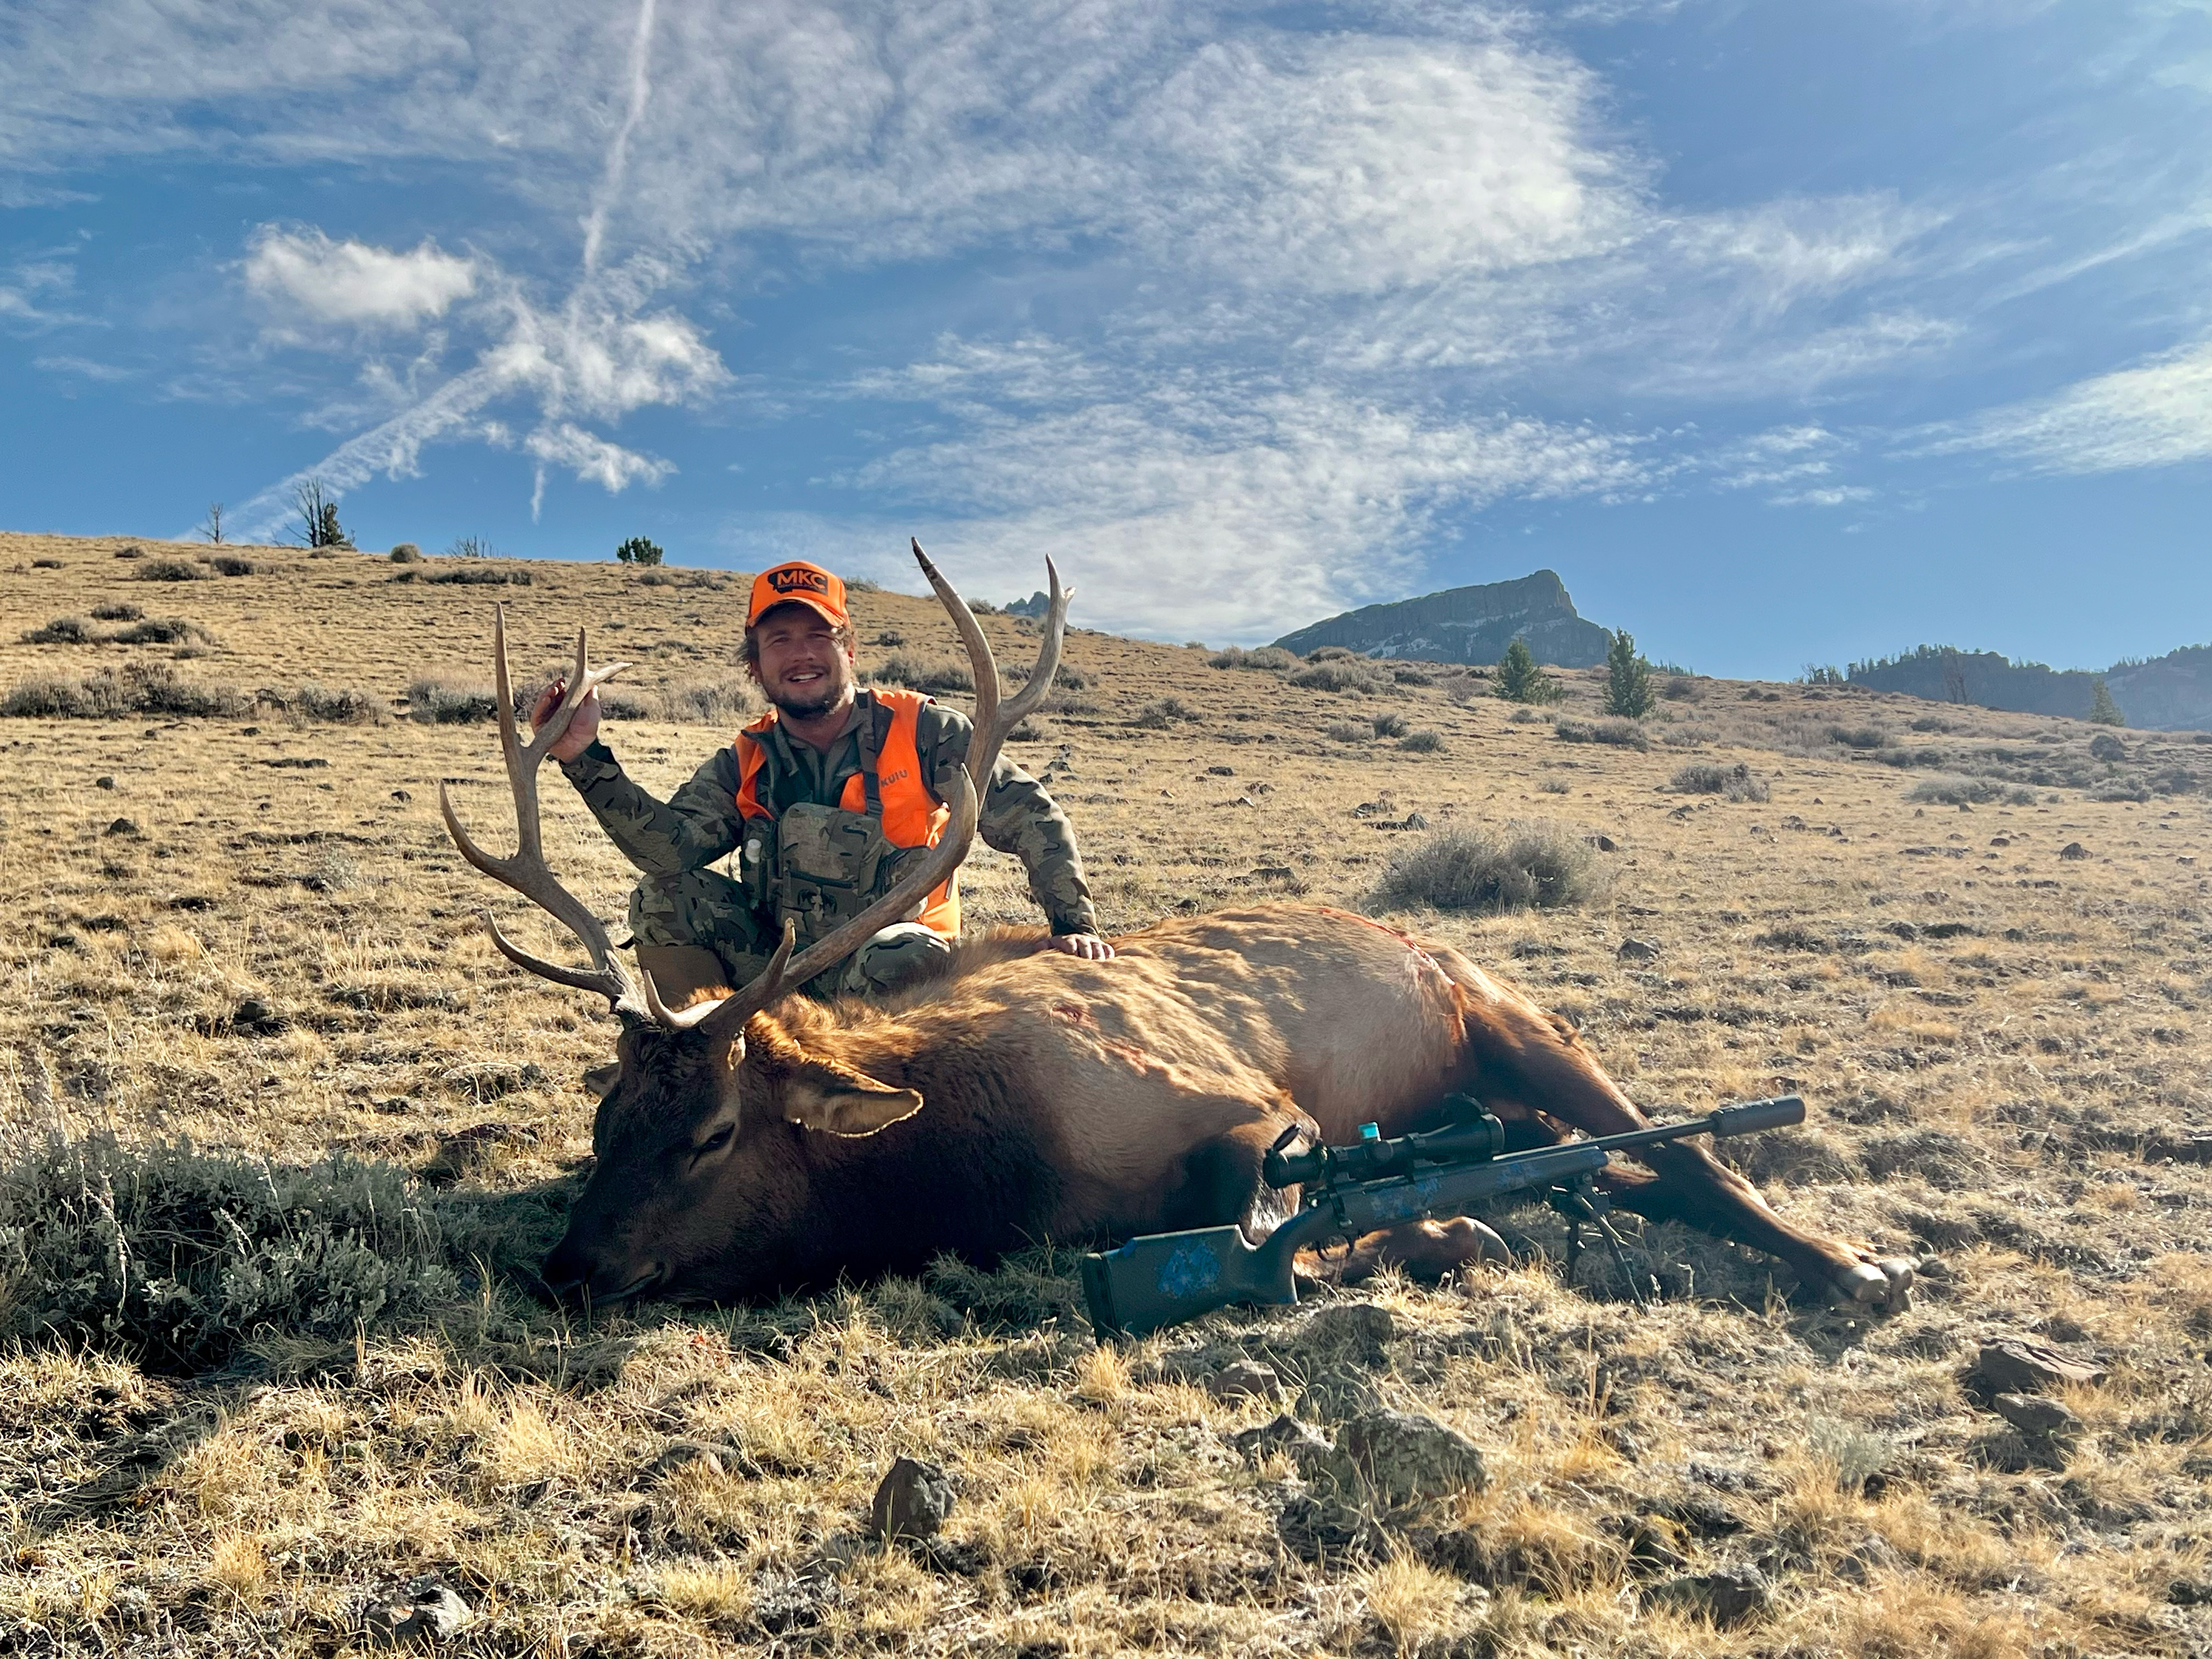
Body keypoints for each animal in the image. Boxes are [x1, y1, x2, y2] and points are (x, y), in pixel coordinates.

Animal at [439, 546, 1918, 1316]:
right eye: (602, 1122)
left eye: (710, 1134)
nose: (566, 1268)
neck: (976, 1165)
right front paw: (1447, 1232)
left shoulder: (1244, 1106)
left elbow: (1265, 1213)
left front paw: (1445, 1235)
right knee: (1628, 1169)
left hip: (1520, 1021)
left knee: (1694, 1157)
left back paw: (1859, 1264)